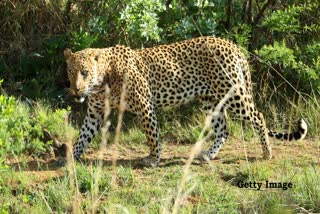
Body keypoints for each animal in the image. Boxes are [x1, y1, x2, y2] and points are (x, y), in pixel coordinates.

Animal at [64, 36, 308, 167]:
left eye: (84, 72)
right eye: (71, 71)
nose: (75, 90)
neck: (102, 82)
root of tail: (233, 45)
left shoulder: (145, 105)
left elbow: (152, 135)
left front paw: (153, 159)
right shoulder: (95, 113)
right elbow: (83, 137)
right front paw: (70, 158)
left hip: (234, 94)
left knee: (258, 116)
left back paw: (267, 153)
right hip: (210, 101)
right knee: (224, 129)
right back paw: (208, 155)